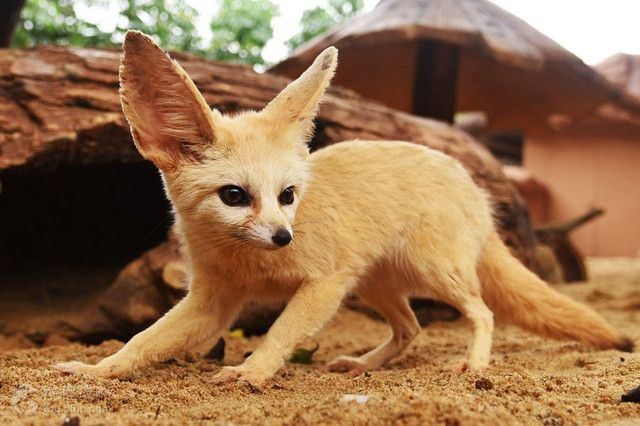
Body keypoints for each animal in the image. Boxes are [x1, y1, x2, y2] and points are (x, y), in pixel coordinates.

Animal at [53, 32, 632, 386]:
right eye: (234, 196)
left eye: (288, 195)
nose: (284, 237)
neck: (253, 264)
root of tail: (474, 189)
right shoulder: (213, 302)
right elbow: (143, 340)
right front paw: (97, 370)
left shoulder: (324, 283)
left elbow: (281, 331)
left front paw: (252, 373)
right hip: (373, 284)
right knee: (412, 329)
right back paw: (365, 364)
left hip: (429, 274)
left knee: (482, 312)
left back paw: (472, 365)